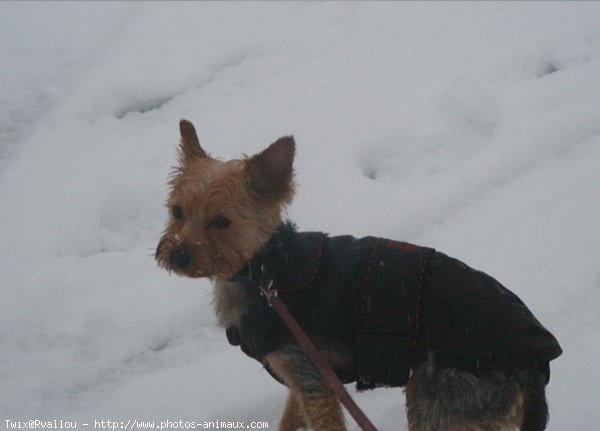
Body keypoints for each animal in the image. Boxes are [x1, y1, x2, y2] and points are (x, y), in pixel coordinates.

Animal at [155, 120, 564, 431]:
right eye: (177, 212)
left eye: (221, 222)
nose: (177, 255)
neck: (264, 270)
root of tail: (533, 364)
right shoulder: (305, 373)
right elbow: (290, 418)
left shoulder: (313, 380)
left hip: (440, 393)